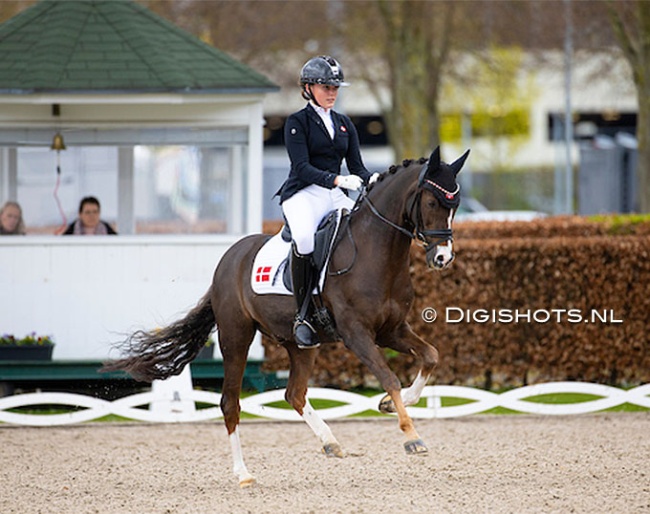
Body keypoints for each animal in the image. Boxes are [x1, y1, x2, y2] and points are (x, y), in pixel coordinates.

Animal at [100, 146, 466, 486]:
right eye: (432, 202)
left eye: (455, 205)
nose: (443, 258)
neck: (375, 252)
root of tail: (229, 259)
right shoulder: (357, 334)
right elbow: (389, 377)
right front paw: (411, 435)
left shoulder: (392, 330)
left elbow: (431, 356)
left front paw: (391, 404)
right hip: (236, 337)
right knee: (230, 402)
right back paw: (243, 473)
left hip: (300, 343)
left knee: (294, 393)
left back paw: (329, 442)